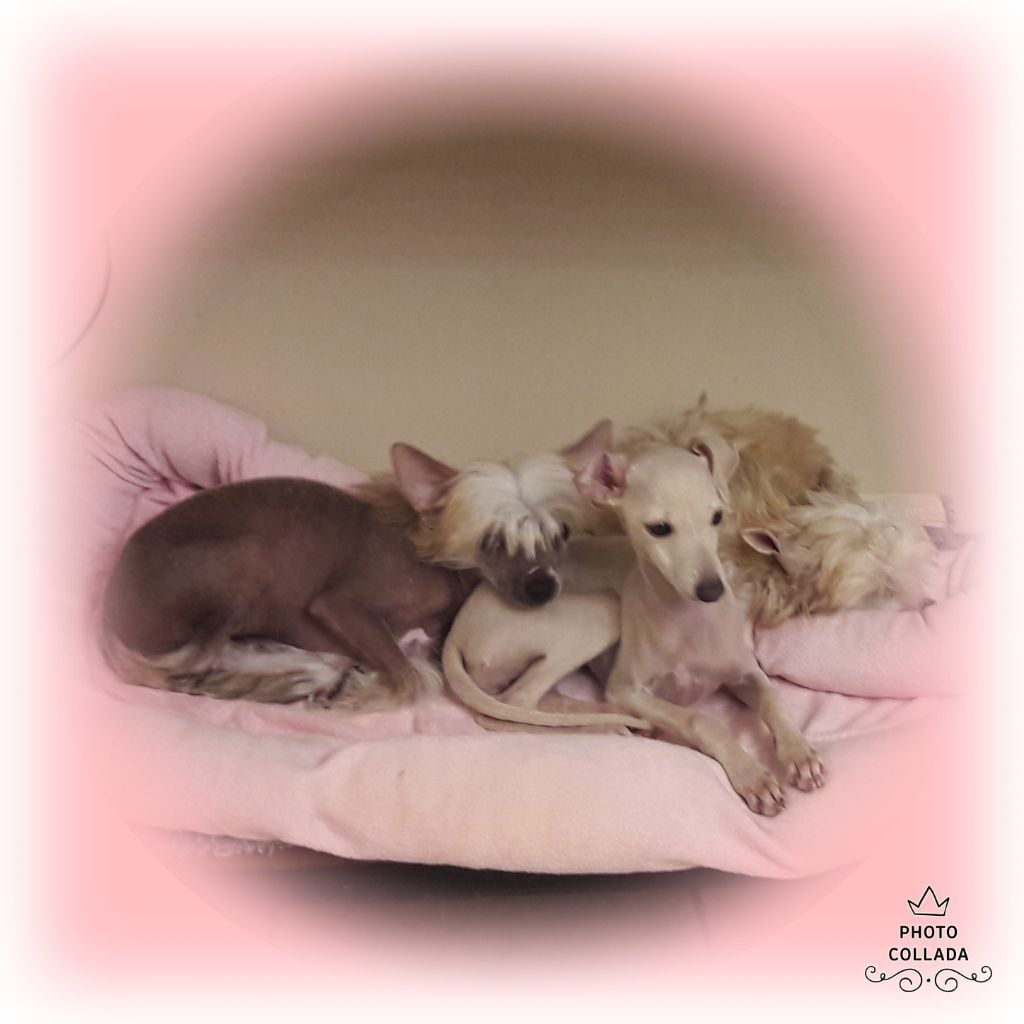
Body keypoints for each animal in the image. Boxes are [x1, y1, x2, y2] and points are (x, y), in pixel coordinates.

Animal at [576, 439, 826, 816]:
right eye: (659, 528)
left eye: (717, 517)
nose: (712, 591)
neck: (690, 621)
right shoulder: (625, 689)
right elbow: (702, 719)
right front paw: (752, 774)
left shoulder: (744, 673)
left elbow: (772, 698)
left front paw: (798, 752)